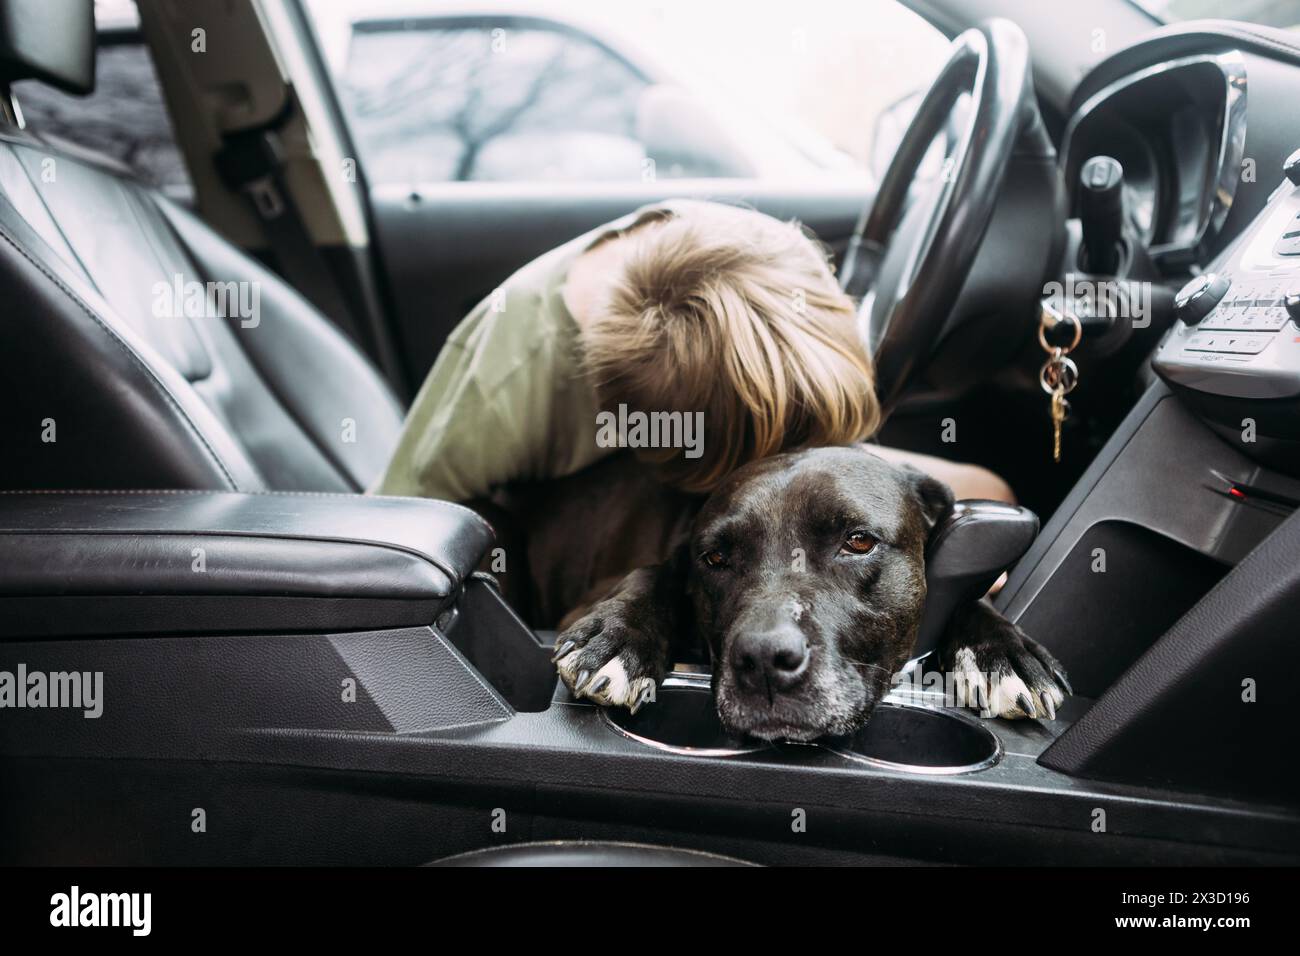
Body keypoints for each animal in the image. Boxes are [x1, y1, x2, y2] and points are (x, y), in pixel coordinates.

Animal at [553, 444, 1071, 743]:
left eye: (858, 541)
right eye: (715, 558)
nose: (764, 660)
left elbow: (973, 599)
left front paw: (1004, 653)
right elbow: (652, 571)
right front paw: (619, 637)